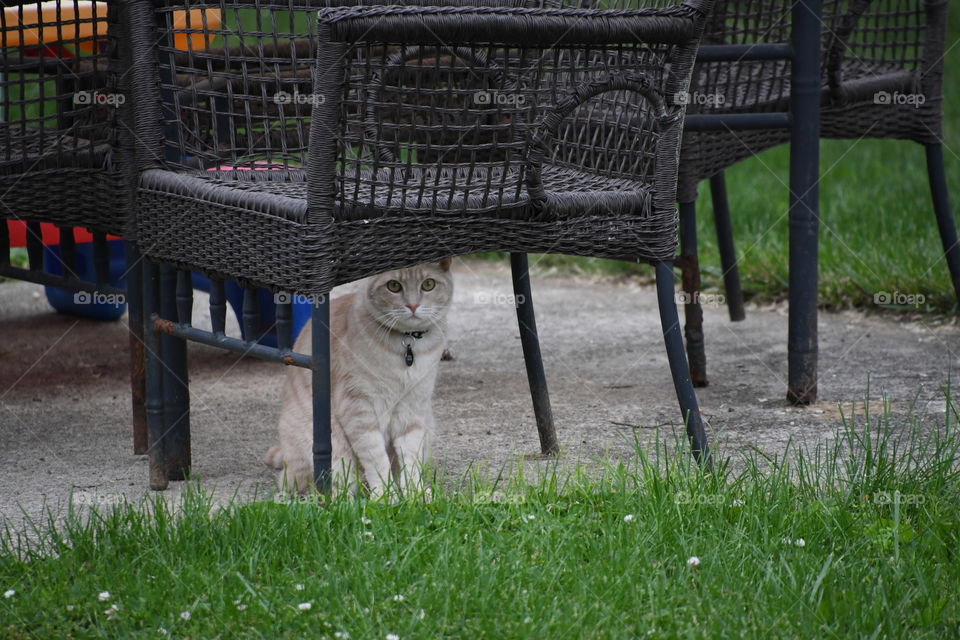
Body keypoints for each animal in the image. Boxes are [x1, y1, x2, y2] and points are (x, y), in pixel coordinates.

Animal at [266, 258, 454, 498]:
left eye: (428, 284)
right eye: (394, 286)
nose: (412, 306)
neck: (408, 346)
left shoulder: (413, 410)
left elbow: (409, 460)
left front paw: (414, 494)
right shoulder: (359, 408)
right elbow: (376, 459)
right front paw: (385, 496)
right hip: (333, 451)